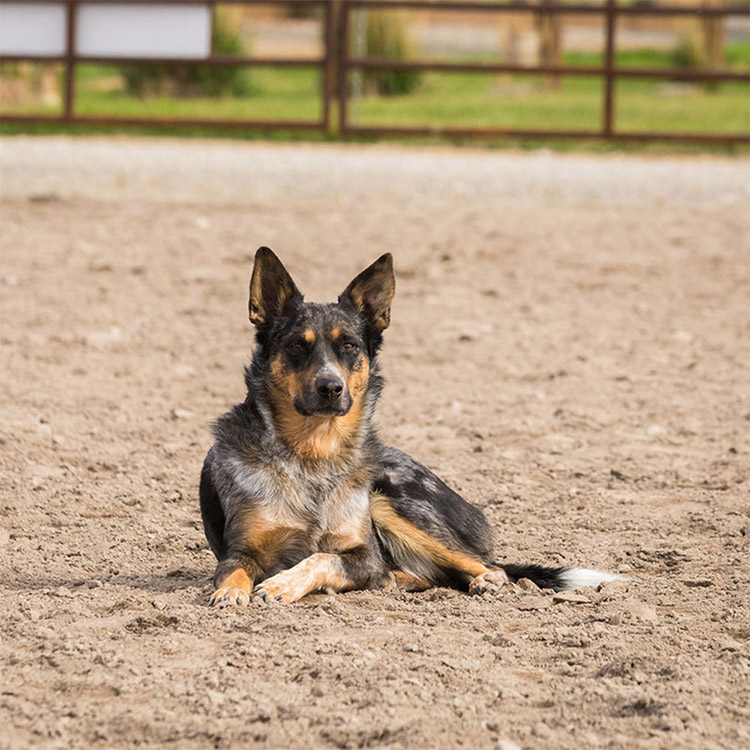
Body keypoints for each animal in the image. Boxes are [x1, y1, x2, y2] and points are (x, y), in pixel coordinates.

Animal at [197, 250, 620, 608]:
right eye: (296, 346)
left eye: (349, 346)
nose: (331, 387)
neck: (313, 454)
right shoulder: (241, 551)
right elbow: (234, 571)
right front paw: (231, 593)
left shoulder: (364, 554)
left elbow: (321, 558)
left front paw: (282, 583)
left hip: (391, 503)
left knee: (490, 566)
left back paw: (482, 580)